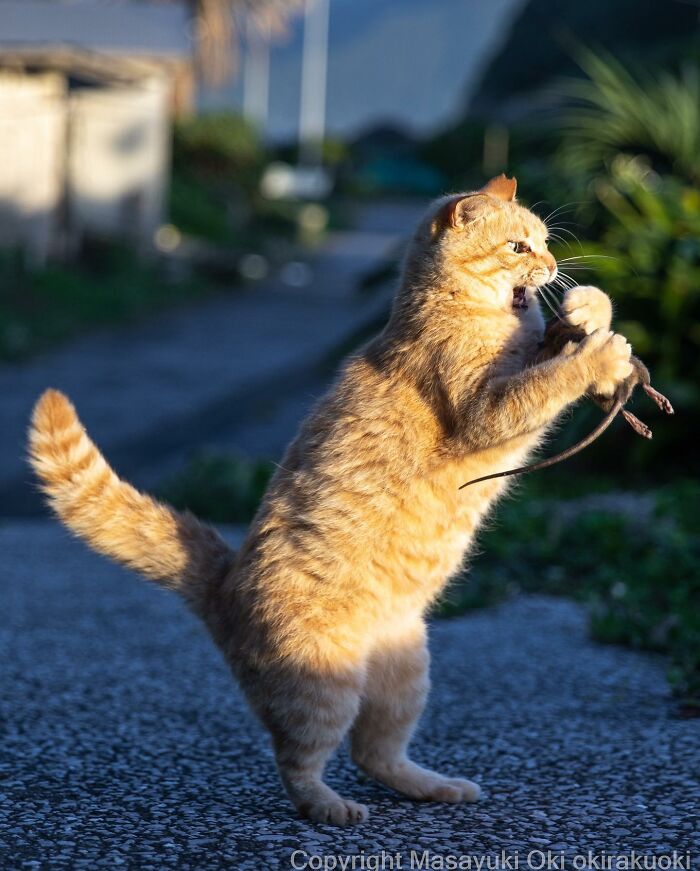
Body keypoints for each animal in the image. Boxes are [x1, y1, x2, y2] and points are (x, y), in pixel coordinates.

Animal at [27, 174, 632, 828]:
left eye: (544, 241)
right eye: (519, 247)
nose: (552, 266)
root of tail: (223, 581)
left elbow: (555, 349)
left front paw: (590, 307)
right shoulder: (488, 412)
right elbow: (545, 383)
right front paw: (598, 354)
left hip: (406, 677)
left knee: (375, 753)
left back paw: (433, 786)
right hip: (323, 688)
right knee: (299, 761)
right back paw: (331, 808)